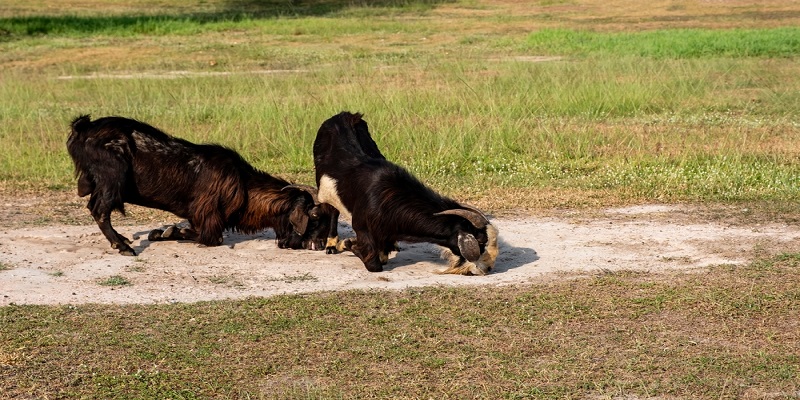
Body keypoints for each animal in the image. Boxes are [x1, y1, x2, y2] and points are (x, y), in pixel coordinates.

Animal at [68, 114, 332, 255]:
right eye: (315, 216)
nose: (320, 245)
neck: (243, 185)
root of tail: (83, 127)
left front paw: (162, 232)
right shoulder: (208, 216)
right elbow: (210, 238)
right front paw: (175, 231)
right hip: (112, 175)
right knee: (99, 210)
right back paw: (122, 245)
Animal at [314, 112, 496, 276]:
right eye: (481, 241)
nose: (488, 269)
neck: (391, 199)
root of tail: (346, 115)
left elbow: (383, 256)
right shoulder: (362, 227)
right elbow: (374, 264)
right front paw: (346, 243)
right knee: (332, 209)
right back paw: (331, 244)